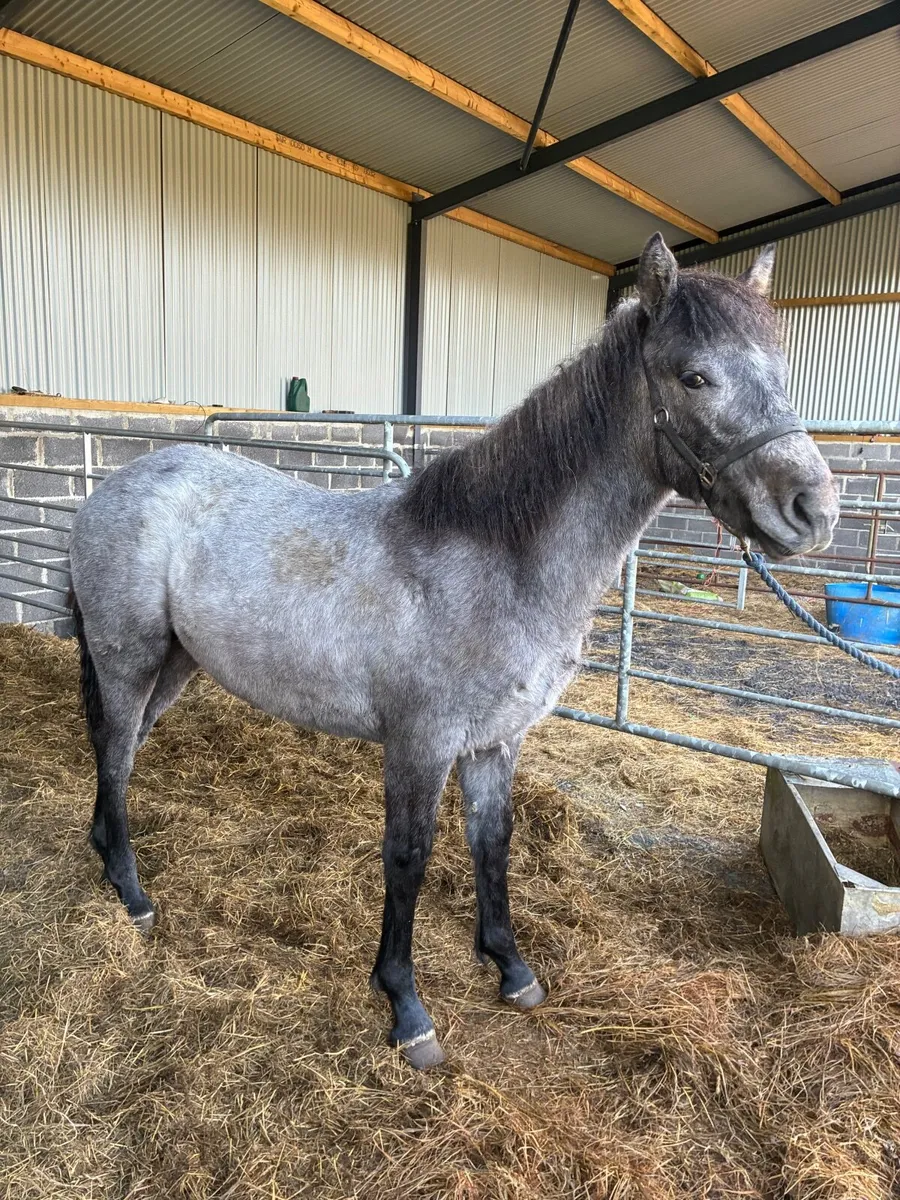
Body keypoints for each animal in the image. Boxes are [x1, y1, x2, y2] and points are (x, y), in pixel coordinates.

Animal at [67, 233, 839, 1069]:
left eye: (781, 371)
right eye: (695, 375)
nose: (813, 510)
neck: (496, 558)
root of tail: (110, 487)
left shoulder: (495, 741)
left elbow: (492, 845)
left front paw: (511, 967)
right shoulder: (420, 743)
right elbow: (408, 859)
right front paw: (406, 1008)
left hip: (174, 665)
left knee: (121, 753)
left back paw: (105, 856)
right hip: (129, 658)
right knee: (114, 752)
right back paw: (133, 895)